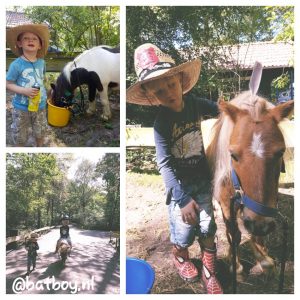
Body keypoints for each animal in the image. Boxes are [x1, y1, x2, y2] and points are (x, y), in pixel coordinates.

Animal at [206, 63, 292, 282]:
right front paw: (235, 266)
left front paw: (264, 258)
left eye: (280, 152)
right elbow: (234, 233)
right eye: (233, 155)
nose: (260, 224)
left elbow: (255, 232)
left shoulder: (266, 204)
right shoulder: (227, 204)